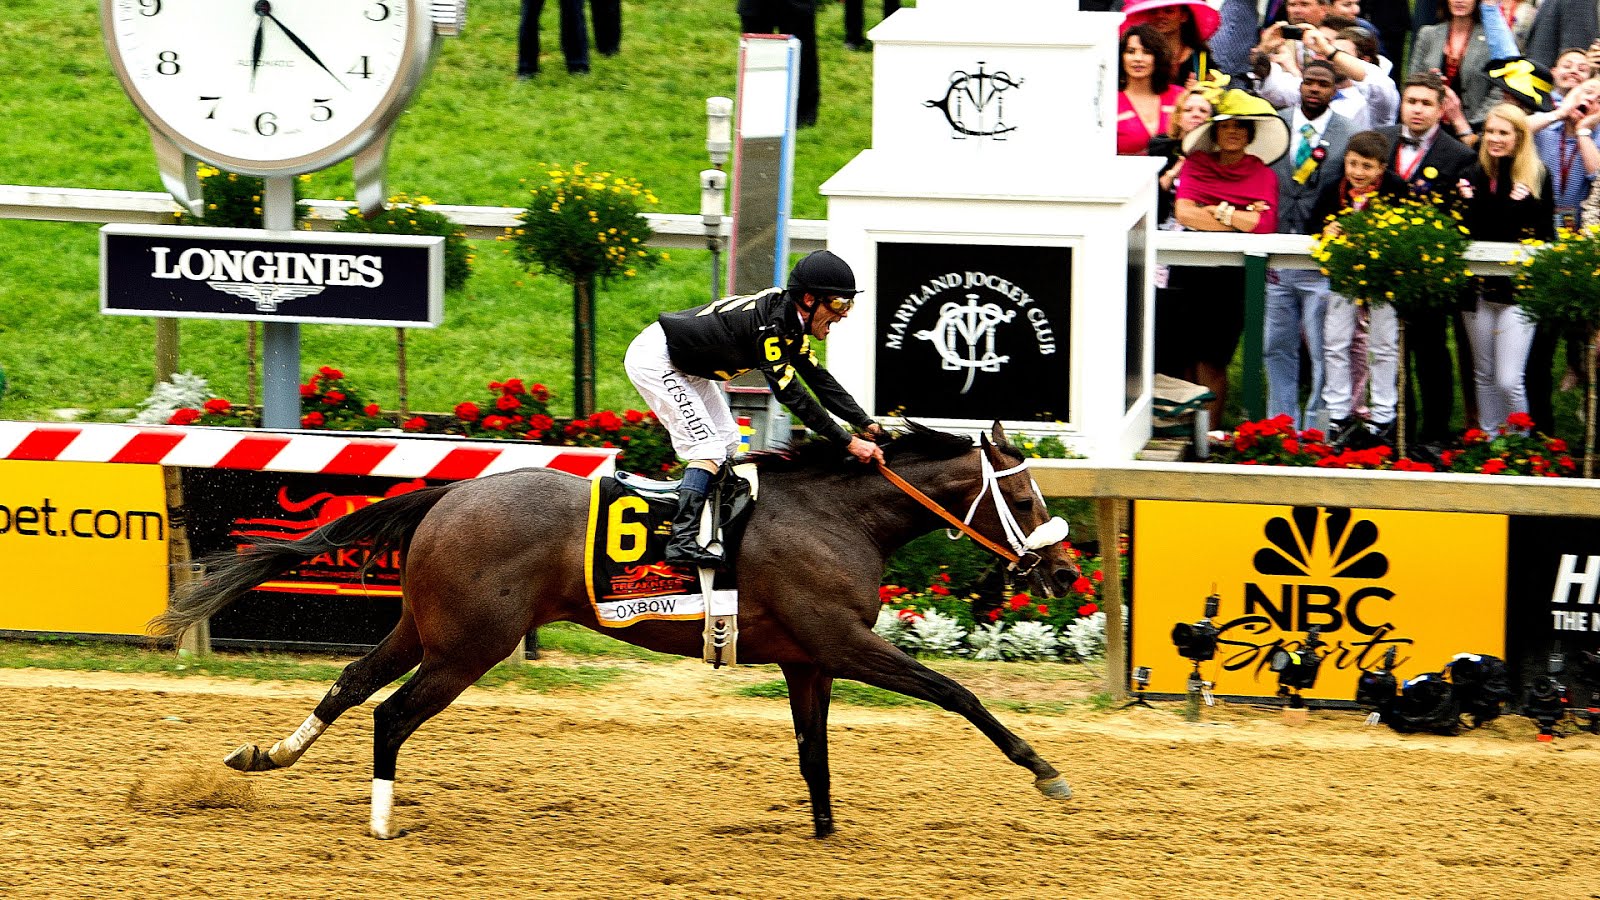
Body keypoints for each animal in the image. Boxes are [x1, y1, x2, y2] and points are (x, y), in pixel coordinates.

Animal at [150, 421, 1082, 839]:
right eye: (1023, 493)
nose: (1065, 572)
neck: (835, 515)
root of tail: (450, 493)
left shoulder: (808, 660)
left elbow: (814, 750)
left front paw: (822, 830)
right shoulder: (845, 643)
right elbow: (956, 693)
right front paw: (1044, 771)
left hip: (427, 627)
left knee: (349, 686)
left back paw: (264, 756)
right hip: (471, 645)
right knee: (392, 713)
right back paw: (381, 822)